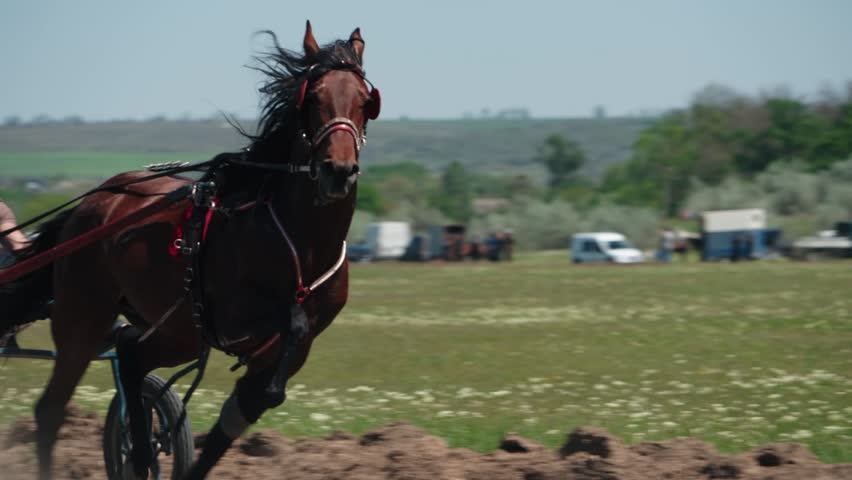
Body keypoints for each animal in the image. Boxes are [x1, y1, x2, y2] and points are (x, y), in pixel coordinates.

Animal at [0, 21, 379, 479]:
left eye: (365, 101)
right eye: (315, 97)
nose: (337, 171)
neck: (301, 243)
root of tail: (94, 201)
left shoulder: (283, 353)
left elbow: (244, 411)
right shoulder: (235, 319)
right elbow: (292, 321)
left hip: (176, 328)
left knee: (131, 355)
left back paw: (140, 449)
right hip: (84, 319)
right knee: (52, 408)